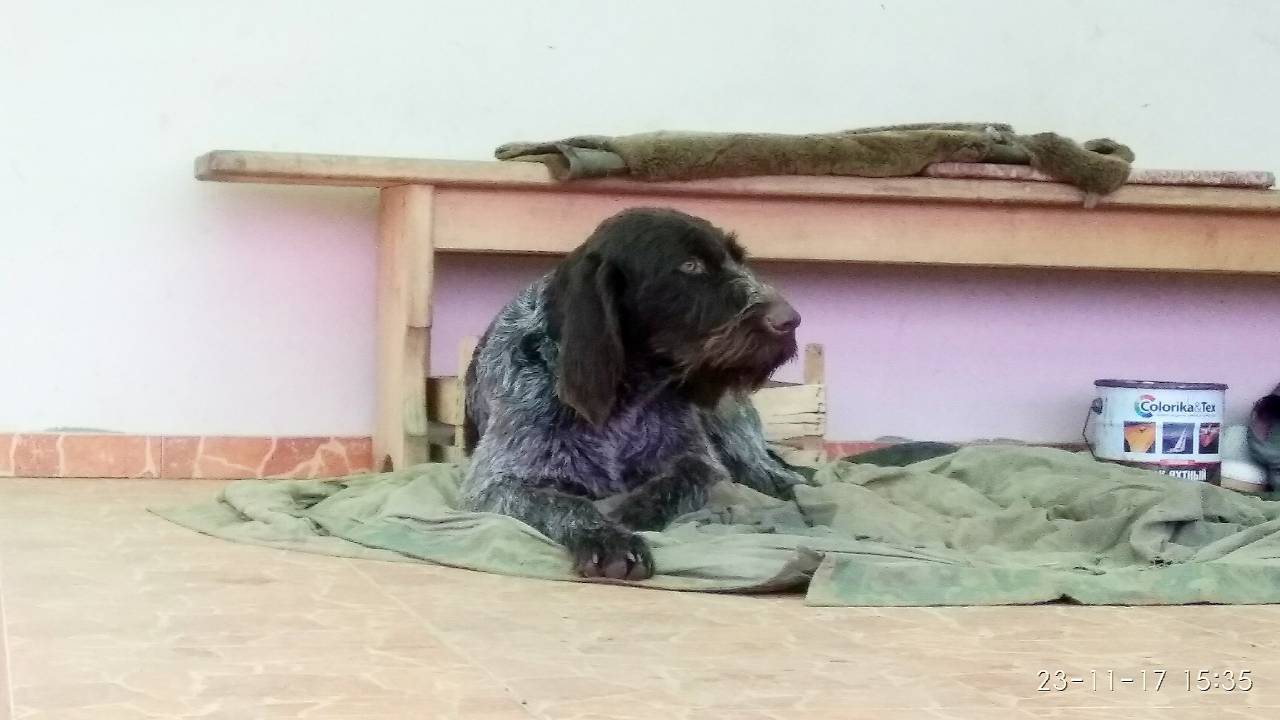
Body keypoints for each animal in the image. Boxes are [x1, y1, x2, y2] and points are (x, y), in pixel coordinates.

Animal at [460, 207, 807, 580]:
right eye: (690, 266)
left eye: (739, 259)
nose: (791, 320)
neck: (627, 396)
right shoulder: (493, 486)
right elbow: (562, 502)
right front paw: (606, 536)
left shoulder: (703, 464)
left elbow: (682, 478)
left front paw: (632, 513)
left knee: (774, 472)